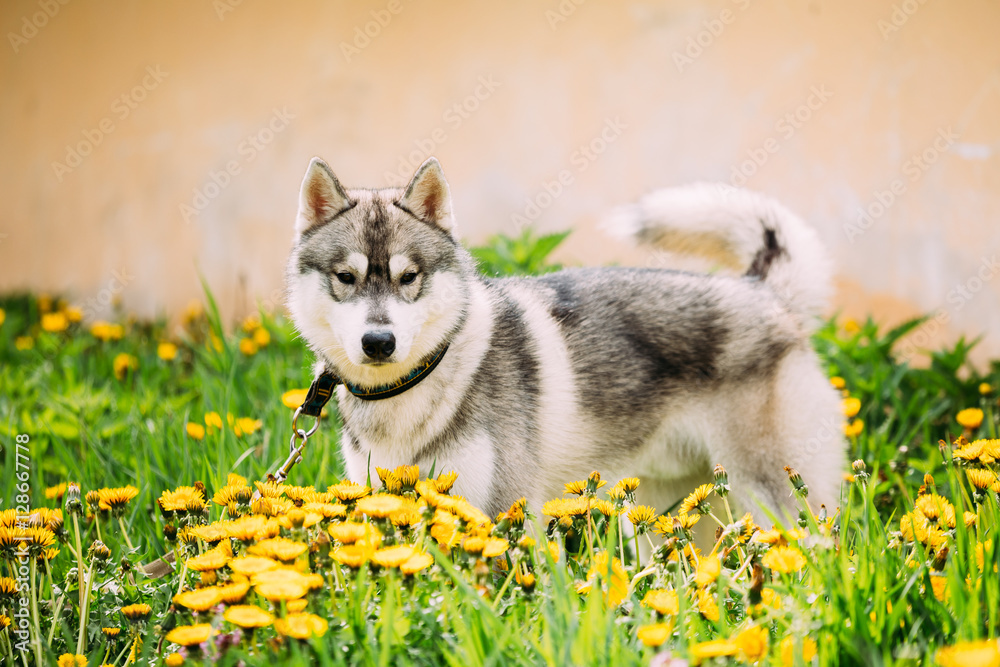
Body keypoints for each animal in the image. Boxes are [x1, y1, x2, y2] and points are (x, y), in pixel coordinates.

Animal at [286, 158, 848, 520]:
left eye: (409, 278)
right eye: (346, 277)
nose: (378, 342)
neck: (417, 387)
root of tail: (762, 290)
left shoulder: (501, 515)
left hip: (778, 503)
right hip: (667, 514)